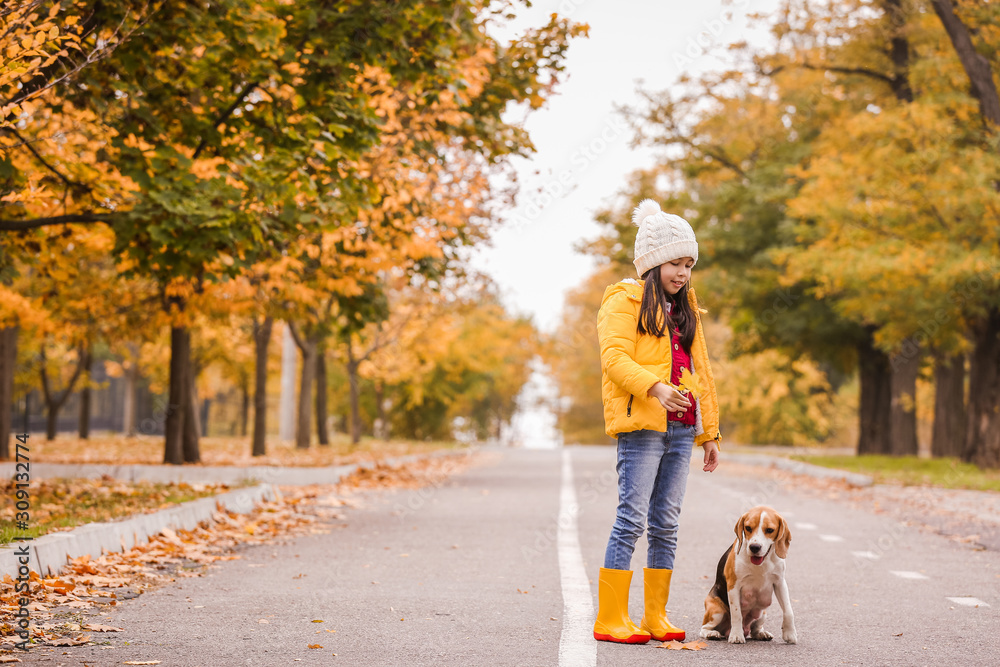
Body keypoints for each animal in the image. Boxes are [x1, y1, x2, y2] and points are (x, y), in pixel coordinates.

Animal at [704, 508, 796, 644]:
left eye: (770, 530)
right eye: (748, 528)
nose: (754, 547)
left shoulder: (780, 583)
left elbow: (788, 611)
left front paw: (790, 634)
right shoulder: (733, 586)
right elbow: (736, 613)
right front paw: (736, 635)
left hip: (762, 613)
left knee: (754, 630)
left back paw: (761, 633)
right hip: (716, 611)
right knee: (704, 628)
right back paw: (712, 633)